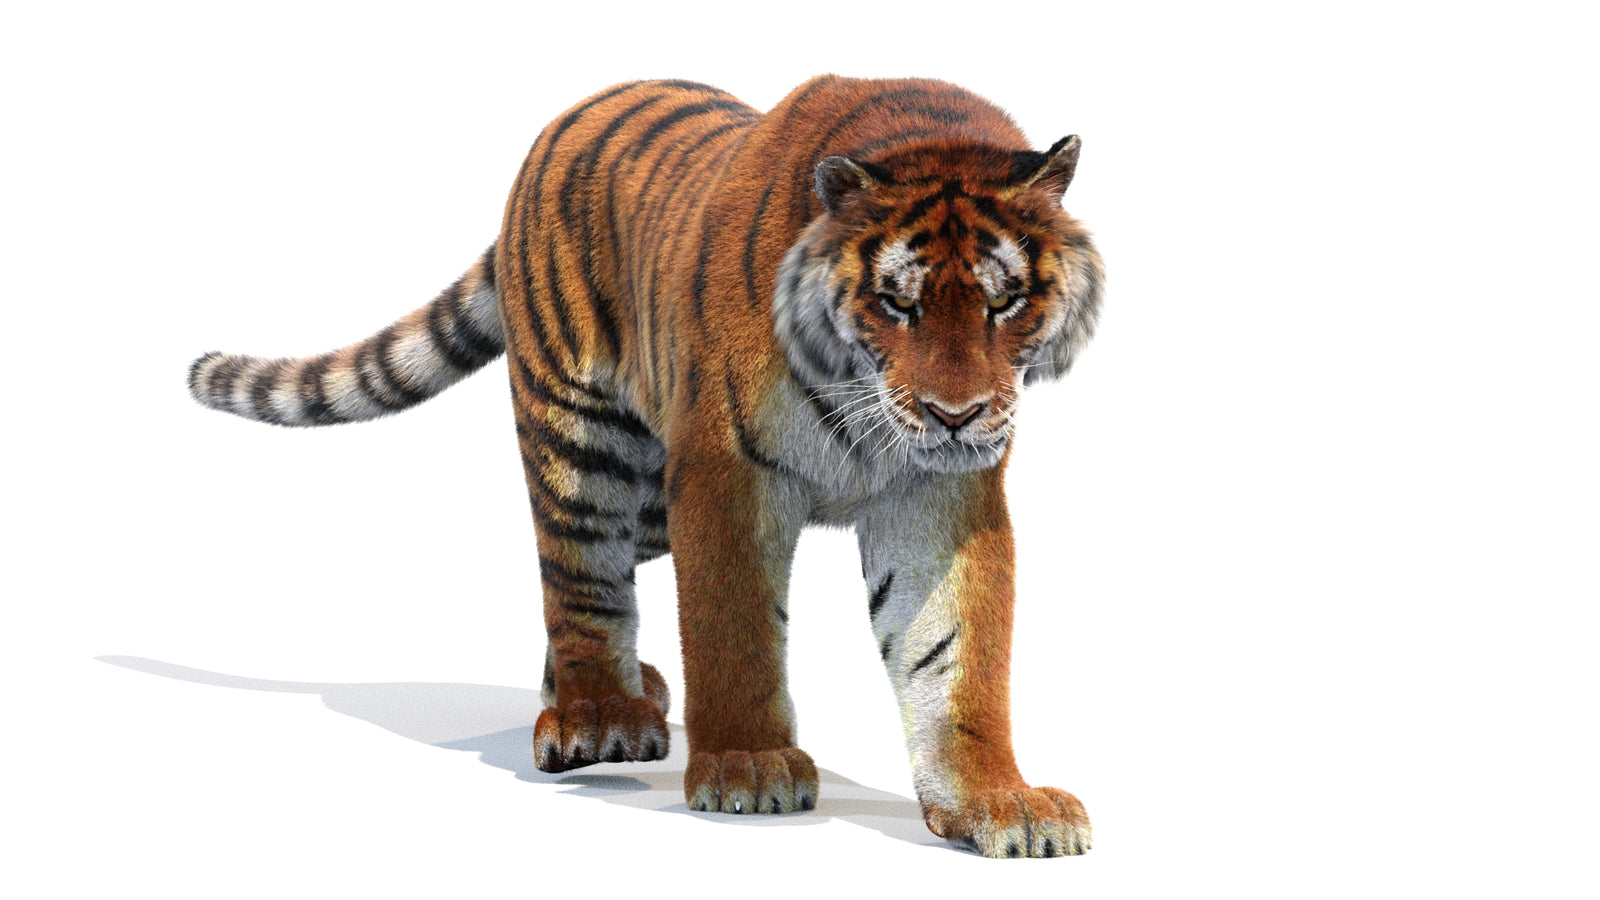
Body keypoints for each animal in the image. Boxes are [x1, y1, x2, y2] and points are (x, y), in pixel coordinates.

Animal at [188, 75, 1105, 858]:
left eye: (1004, 302)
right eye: (896, 303)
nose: (957, 415)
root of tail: (576, 112)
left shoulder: (937, 496)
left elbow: (955, 655)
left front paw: (997, 802)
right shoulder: (727, 474)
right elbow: (733, 628)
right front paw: (748, 768)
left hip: (655, 495)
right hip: (585, 446)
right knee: (580, 584)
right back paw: (597, 713)